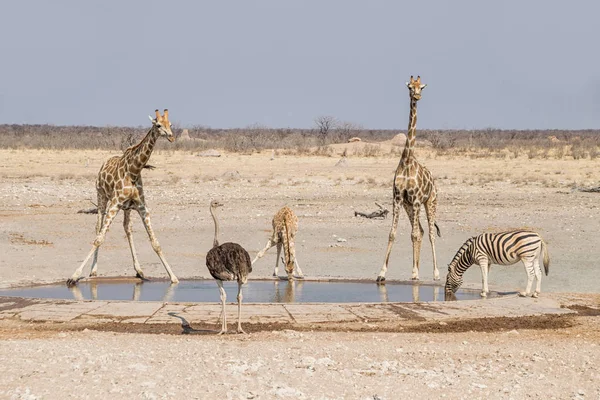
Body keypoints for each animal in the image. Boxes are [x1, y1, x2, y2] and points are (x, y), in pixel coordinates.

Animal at [67, 108, 178, 284]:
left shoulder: (142, 207)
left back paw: (139, 270)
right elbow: (99, 238)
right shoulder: (114, 204)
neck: (134, 171)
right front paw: (74, 275)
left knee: (127, 229)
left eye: (170, 124)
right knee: (98, 228)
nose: (171, 136)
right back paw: (93, 271)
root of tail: (104, 163)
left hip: (126, 208)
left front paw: (173, 277)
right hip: (101, 197)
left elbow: (155, 243)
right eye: (158, 125)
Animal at [380, 76, 440, 282]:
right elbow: (392, 234)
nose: (417, 96)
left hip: (430, 202)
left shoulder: (415, 200)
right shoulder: (398, 199)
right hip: (409, 206)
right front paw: (381, 273)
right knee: (421, 231)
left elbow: (413, 235)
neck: (407, 161)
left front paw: (415, 273)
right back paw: (418, 268)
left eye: (421, 87)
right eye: (409, 87)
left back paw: (435, 273)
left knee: (429, 233)